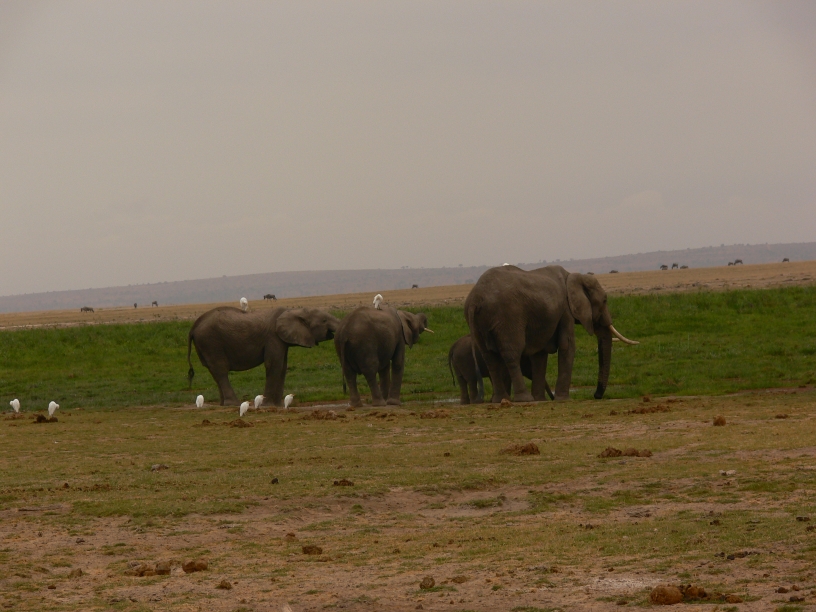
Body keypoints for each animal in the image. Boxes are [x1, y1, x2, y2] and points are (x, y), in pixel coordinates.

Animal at [187, 306, 339, 407]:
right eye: (324, 320)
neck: (294, 310)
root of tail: (193, 327)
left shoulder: (281, 341)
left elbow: (282, 366)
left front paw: (278, 405)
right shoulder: (273, 337)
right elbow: (274, 364)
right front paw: (269, 405)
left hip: (206, 345)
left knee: (214, 371)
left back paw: (223, 404)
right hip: (211, 342)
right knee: (221, 370)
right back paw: (234, 403)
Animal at [464, 265, 638, 403]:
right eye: (604, 301)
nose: (596, 396)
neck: (572, 276)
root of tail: (475, 300)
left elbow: (539, 354)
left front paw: (541, 399)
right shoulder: (566, 310)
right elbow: (567, 346)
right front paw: (563, 400)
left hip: (479, 324)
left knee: (489, 357)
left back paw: (501, 400)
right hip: (507, 317)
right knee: (512, 354)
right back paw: (524, 399)